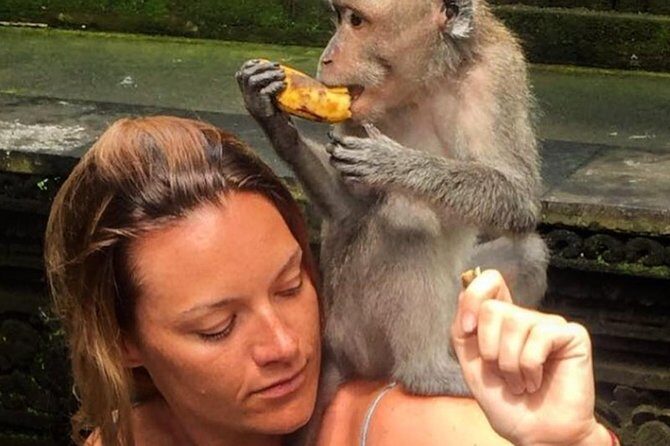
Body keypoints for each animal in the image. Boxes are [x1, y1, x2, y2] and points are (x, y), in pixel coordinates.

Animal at [237, 0, 548, 442]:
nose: (327, 57)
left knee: (528, 254)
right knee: (407, 217)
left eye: (356, 21)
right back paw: (425, 375)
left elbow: (518, 195)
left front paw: (393, 163)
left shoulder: (498, 70)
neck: (427, 82)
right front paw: (273, 120)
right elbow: (348, 209)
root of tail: (332, 341)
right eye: (339, 17)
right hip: (360, 335)